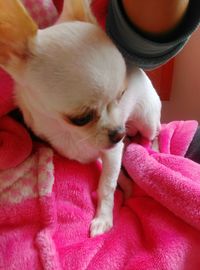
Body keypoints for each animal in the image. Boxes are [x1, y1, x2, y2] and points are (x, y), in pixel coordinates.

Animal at [0, 0, 160, 236]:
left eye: (122, 95)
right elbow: (110, 175)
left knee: (153, 133)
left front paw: (104, 218)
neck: (68, 133)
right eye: (82, 118)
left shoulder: (113, 152)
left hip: (148, 118)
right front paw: (124, 187)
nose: (119, 133)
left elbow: (107, 185)